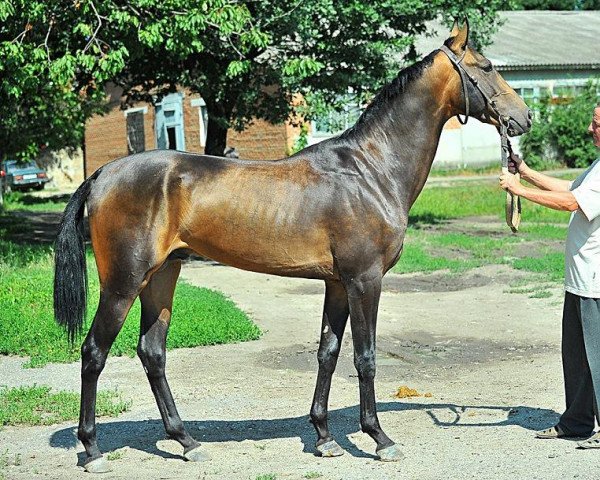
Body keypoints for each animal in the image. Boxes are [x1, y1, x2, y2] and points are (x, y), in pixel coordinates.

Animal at [52, 19, 528, 472]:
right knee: (94, 352)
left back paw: (187, 442)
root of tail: (101, 175)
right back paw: (92, 450)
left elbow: (328, 354)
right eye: (487, 66)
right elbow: (365, 357)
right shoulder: (364, 281)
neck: (372, 170)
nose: (523, 117)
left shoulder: (337, 284)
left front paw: (324, 437)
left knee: (152, 353)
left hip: (162, 276)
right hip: (123, 282)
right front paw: (378, 438)